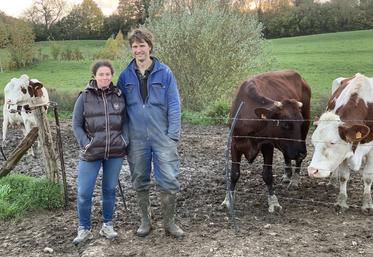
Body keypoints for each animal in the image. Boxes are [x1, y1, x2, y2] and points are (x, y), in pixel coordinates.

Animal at [222, 69, 310, 211]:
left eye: (300, 122)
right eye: (285, 124)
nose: (302, 152)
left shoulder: (268, 145)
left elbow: (267, 174)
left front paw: (273, 202)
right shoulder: (234, 144)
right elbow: (234, 173)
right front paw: (228, 200)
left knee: (296, 160)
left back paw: (294, 180)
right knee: (286, 154)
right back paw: (287, 174)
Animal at [306, 72, 372, 212]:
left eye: (332, 142)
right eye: (313, 143)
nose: (313, 171)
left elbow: (368, 177)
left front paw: (367, 203)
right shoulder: (344, 152)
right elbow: (343, 176)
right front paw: (341, 201)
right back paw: (332, 182)